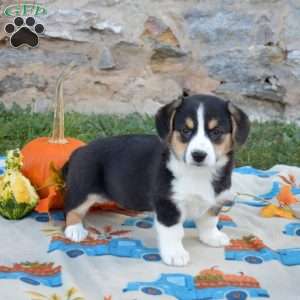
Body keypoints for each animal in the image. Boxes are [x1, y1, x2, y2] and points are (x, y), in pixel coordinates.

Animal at [63, 94, 251, 268]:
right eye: (185, 131)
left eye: (216, 132)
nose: (198, 155)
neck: (198, 173)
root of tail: (80, 150)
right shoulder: (168, 205)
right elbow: (174, 232)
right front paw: (175, 254)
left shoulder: (214, 201)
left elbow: (209, 221)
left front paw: (212, 237)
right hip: (84, 189)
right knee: (72, 209)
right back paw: (75, 230)